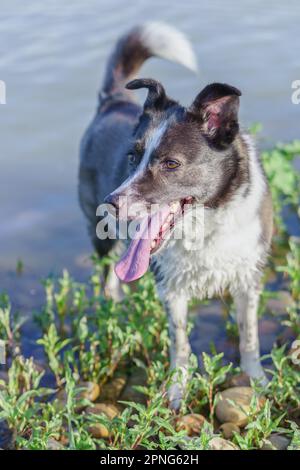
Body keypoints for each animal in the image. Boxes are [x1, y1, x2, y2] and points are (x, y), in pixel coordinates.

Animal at [78, 22, 274, 410]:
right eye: (132, 156)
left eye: (171, 164)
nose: (111, 203)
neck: (208, 224)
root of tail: (112, 102)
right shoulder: (172, 290)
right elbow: (180, 344)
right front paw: (176, 391)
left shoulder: (248, 279)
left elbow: (248, 337)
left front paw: (257, 381)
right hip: (98, 235)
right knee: (107, 276)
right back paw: (114, 303)